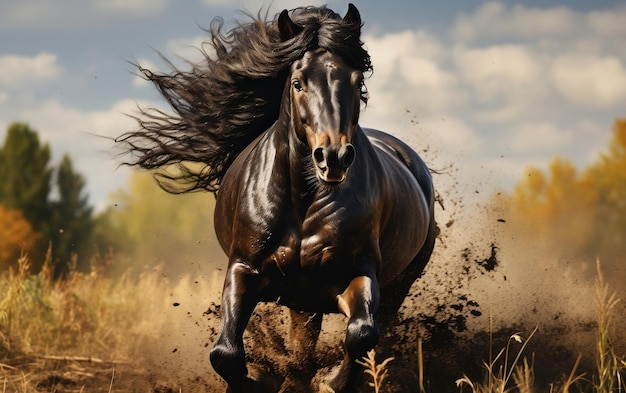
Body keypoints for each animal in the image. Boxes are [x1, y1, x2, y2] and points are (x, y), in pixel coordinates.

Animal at [119, 3, 436, 392]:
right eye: (298, 83)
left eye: (357, 82)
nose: (333, 157)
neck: (301, 203)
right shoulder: (244, 268)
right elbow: (225, 352)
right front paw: (258, 378)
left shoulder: (357, 271)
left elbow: (362, 335)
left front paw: (330, 380)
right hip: (303, 297)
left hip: (392, 285)